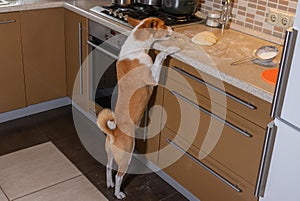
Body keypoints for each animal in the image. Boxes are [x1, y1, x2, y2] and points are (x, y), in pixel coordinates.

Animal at [97, 17, 179, 199]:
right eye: (164, 25)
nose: (174, 29)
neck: (137, 48)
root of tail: (114, 133)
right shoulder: (152, 78)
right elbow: (160, 56)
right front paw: (172, 48)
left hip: (110, 153)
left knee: (108, 167)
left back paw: (109, 183)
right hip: (126, 155)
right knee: (119, 175)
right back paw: (118, 192)